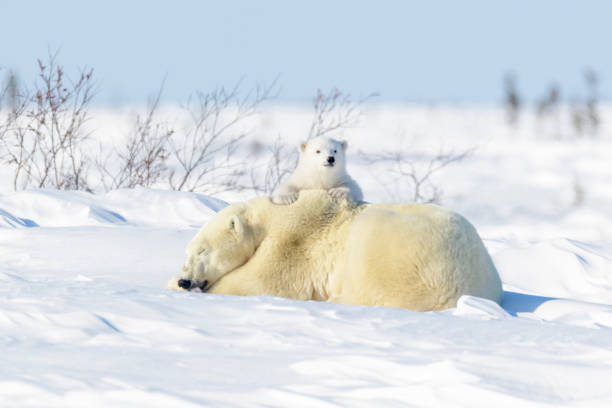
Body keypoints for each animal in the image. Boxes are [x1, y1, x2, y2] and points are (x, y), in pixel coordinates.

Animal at [167, 190, 502, 310]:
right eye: (188, 252)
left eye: (202, 251)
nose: (185, 278)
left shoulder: (295, 241)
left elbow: (261, 280)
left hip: (403, 253)